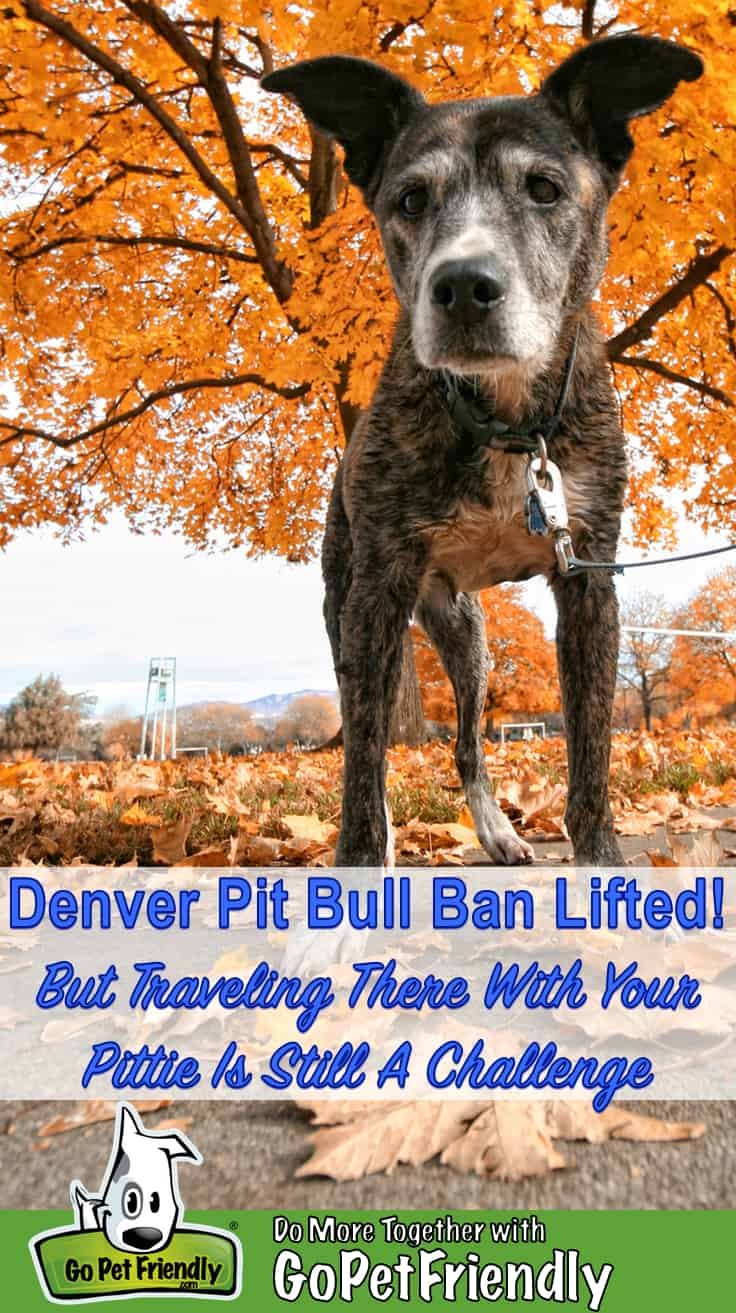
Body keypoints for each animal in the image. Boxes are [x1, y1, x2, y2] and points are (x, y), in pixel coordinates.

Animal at [262, 35, 697, 866]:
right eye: (410, 200)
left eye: (545, 188)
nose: (464, 284)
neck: (505, 418)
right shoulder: (376, 593)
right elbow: (361, 769)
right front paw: (358, 864)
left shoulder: (590, 581)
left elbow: (591, 759)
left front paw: (601, 863)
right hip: (363, 612)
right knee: (386, 742)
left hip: (469, 638)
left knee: (466, 740)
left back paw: (496, 831)